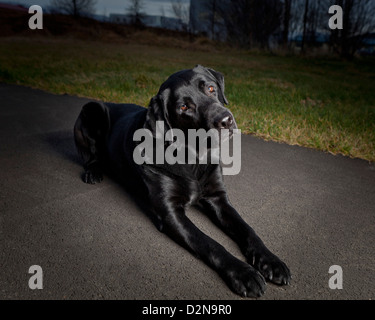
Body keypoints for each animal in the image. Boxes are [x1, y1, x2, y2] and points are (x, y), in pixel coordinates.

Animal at [73, 65, 290, 298]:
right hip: (91, 109)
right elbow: (210, 243)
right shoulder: (170, 213)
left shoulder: (218, 198)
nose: (226, 120)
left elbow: (248, 230)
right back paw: (93, 172)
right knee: (90, 156)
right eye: (184, 107)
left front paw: (271, 261)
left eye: (211, 88)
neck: (192, 156)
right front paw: (243, 273)